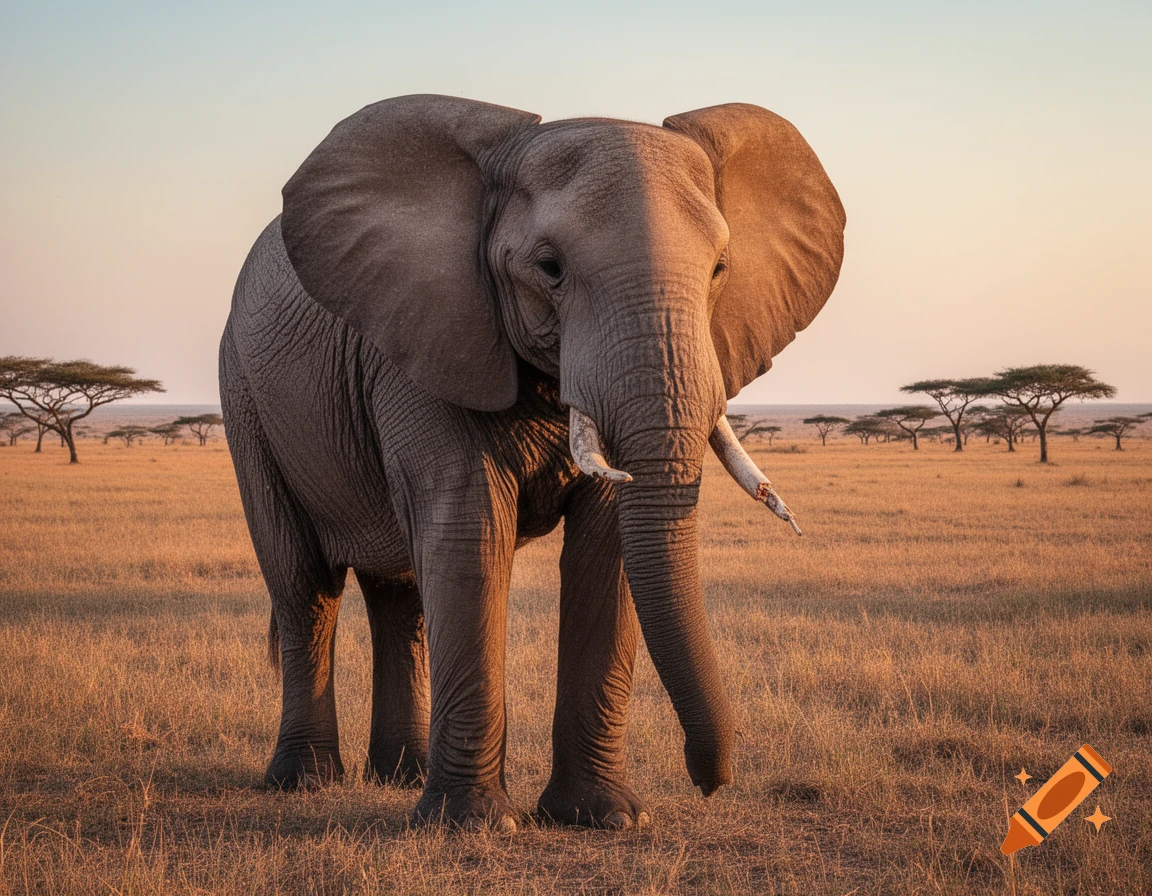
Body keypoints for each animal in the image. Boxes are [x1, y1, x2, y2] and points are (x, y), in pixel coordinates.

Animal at [219, 94, 844, 831]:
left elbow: (605, 550)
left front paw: (605, 819)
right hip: (245, 397)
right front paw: (472, 827)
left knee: (402, 596)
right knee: (304, 586)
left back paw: (403, 777)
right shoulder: (430, 339)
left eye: (720, 269)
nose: (711, 780)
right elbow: (470, 534)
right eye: (550, 268)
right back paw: (306, 782)